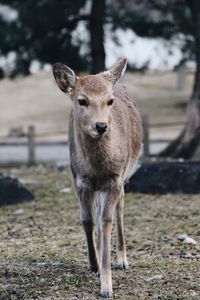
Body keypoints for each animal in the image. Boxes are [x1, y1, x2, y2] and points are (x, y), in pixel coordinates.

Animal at [53, 58, 142, 298]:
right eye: (82, 100)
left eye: (109, 101)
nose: (101, 126)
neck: (97, 168)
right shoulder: (80, 180)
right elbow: (87, 220)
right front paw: (94, 265)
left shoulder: (115, 179)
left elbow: (107, 220)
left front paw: (106, 287)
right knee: (100, 215)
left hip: (124, 177)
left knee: (119, 211)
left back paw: (122, 260)